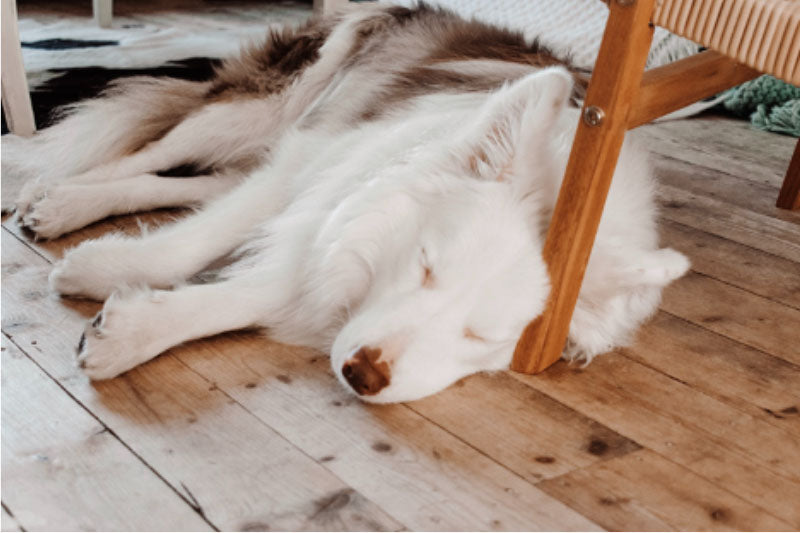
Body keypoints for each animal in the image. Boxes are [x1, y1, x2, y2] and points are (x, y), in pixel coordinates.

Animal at [1, 4, 688, 402]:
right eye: (425, 265)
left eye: (484, 335)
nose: (365, 374)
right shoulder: (320, 163)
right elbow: (191, 246)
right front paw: (104, 273)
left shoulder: (334, 204)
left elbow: (254, 290)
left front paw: (132, 331)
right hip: (268, 106)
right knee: (143, 150)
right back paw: (50, 195)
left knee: (191, 182)